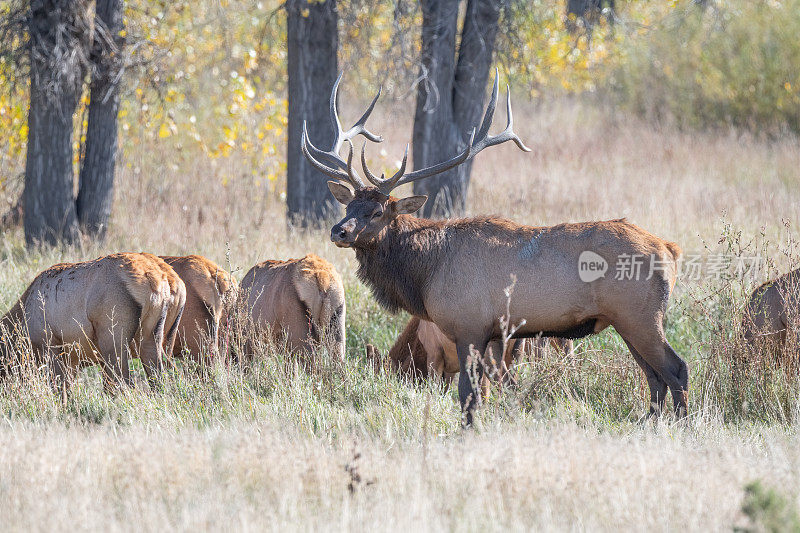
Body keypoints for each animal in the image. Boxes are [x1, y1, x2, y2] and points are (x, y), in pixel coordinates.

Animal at [0, 251, 186, 392]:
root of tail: (163, 282)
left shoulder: (51, 346)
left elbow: (60, 391)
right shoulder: (73, 359)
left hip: (113, 337)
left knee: (125, 383)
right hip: (156, 337)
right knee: (159, 380)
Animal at [300, 70, 688, 422]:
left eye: (378, 211)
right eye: (348, 206)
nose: (339, 232)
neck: (425, 273)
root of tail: (670, 249)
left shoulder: (470, 324)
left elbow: (468, 393)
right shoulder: (495, 333)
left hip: (640, 315)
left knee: (676, 369)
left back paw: (680, 424)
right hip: (624, 320)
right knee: (654, 376)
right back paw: (650, 422)